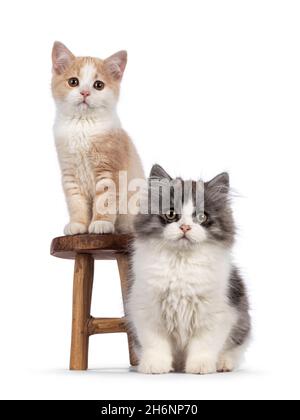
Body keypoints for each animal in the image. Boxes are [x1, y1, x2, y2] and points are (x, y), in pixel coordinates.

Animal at [51, 41, 144, 236]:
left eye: (98, 85)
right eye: (73, 82)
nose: (85, 93)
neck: (82, 126)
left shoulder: (109, 171)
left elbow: (104, 201)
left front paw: (101, 223)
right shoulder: (70, 175)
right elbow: (76, 204)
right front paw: (78, 225)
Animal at [127, 164, 252, 374]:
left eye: (202, 216)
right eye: (171, 214)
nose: (185, 227)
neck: (181, 262)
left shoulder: (216, 313)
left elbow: (204, 345)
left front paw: (200, 367)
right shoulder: (148, 311)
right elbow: (155, 344)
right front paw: (155, 366)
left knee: (234, 351)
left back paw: (222, 363)